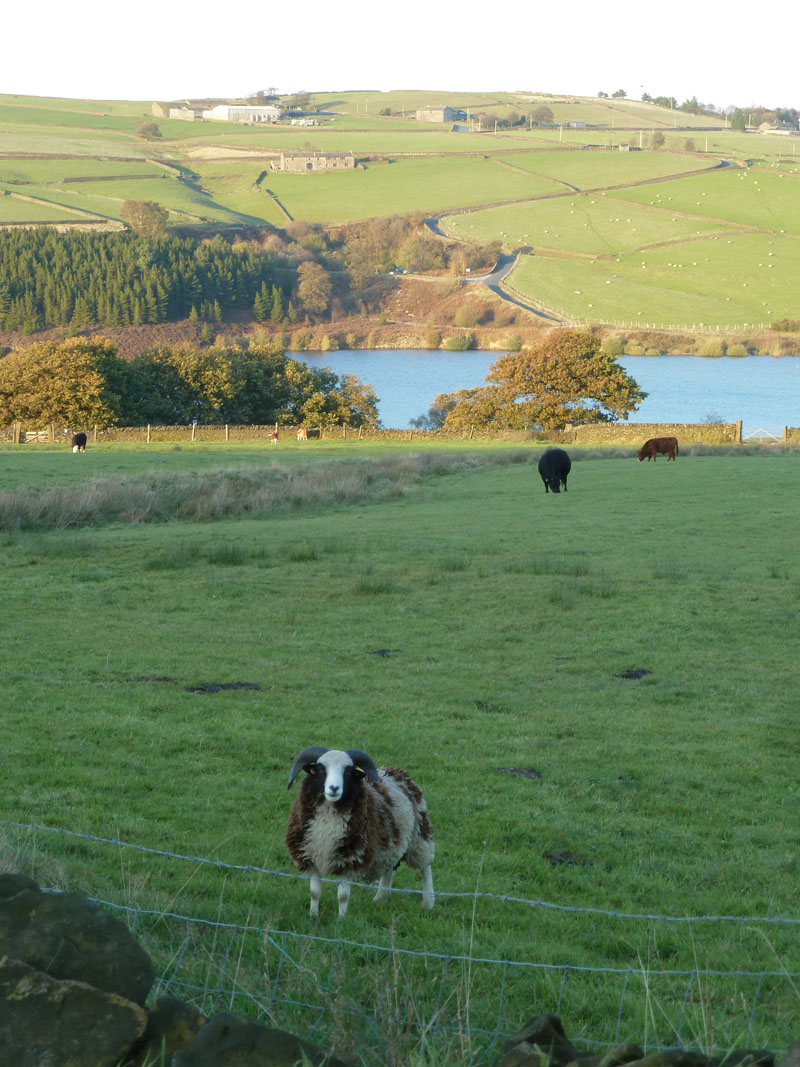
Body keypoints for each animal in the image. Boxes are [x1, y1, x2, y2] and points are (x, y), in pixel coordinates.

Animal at [285, 751, 435, 917]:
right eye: (320, 769)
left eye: (348, 772)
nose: (333, 788)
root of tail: (396, 771)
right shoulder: (310, 858)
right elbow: (314, 892)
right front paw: (313, 915)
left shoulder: (353, 860)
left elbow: (342, 895)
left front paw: (341, 918)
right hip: (392, 843)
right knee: (389, 868)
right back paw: (381, 898)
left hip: (419, 837)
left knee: (425, 868)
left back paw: (428, 902)